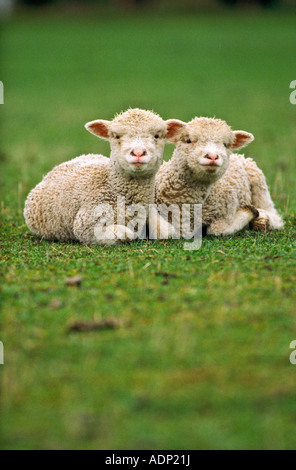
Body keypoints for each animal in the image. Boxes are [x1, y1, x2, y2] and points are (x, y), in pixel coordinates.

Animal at [24, 108, 180, 244]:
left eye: (157, 136)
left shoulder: (150, 208)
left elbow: (167, 231)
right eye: (116, 136)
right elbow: (125, 234)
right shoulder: (86, 223)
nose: (138, 153)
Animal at [154, 116, 284, 235]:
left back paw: (262, 220)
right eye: (188, 140)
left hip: (258, 182)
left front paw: (249, 212)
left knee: (273, 215)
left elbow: (216, 230)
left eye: (226, 145)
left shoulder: (228, 208)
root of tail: (238, 156)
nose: (212, 156)